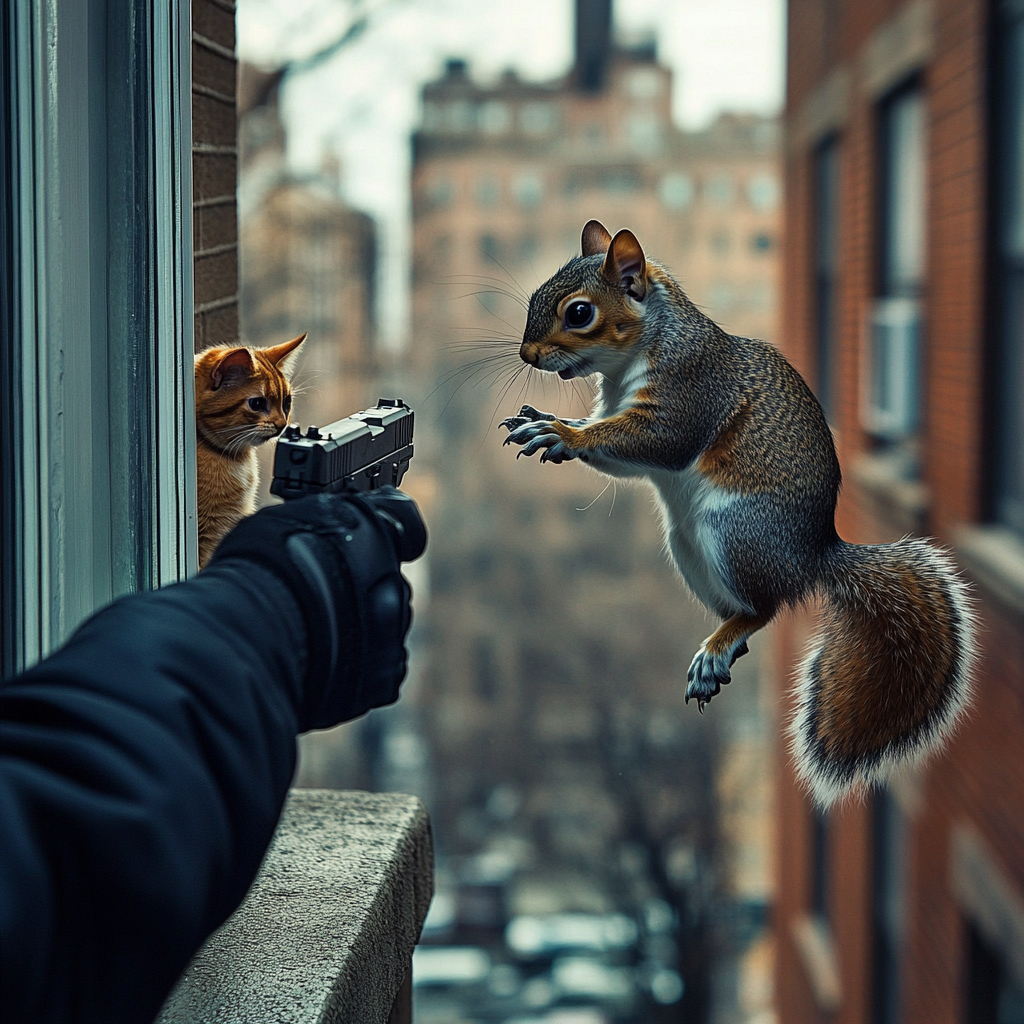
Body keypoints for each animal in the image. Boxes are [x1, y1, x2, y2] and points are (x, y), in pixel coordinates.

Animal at [501, 218, 974, 806]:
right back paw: (719, 649)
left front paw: (560, 433)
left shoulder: (689, 391)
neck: (648, 343)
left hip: (732, 533)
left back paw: (725, 640)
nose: (527, 353)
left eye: (579, 312)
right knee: (744, 613)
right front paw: (549, 422)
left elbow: (659, 443)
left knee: (764, 608)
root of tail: (811, 557)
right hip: (686, 545)